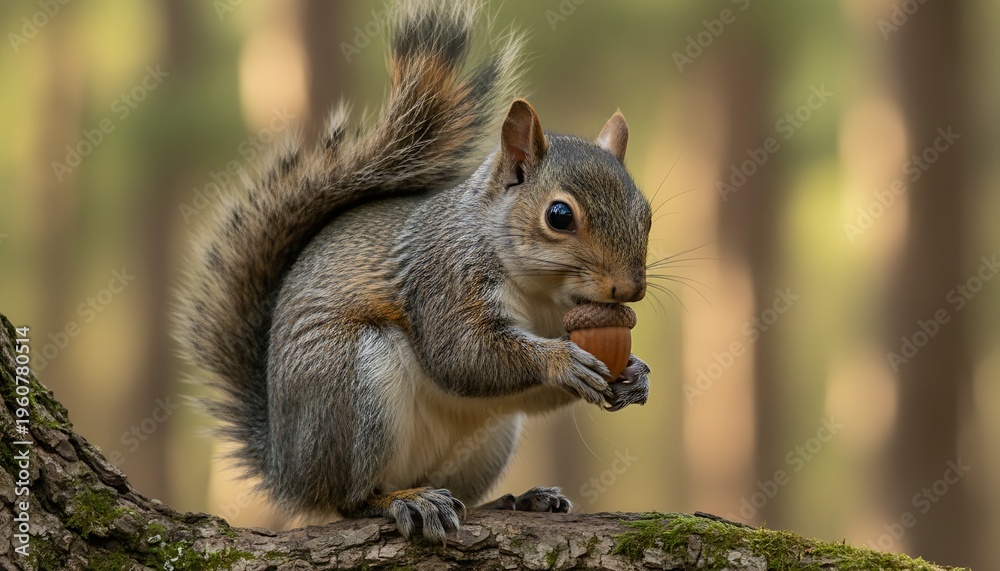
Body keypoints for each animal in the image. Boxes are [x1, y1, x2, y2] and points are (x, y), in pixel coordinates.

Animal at [176, 0, 652, 542]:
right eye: (559, 216)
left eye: (646, 213)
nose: (630, 289)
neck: (544, 293)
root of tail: (288, 467)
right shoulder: (443, 277)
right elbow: (463, 355)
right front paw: (561, 361)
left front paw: (636, 374)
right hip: (352, 389)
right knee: (349, 499)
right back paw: (402, 500)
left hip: (485, 441)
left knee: (464, 492)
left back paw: (518, 500)